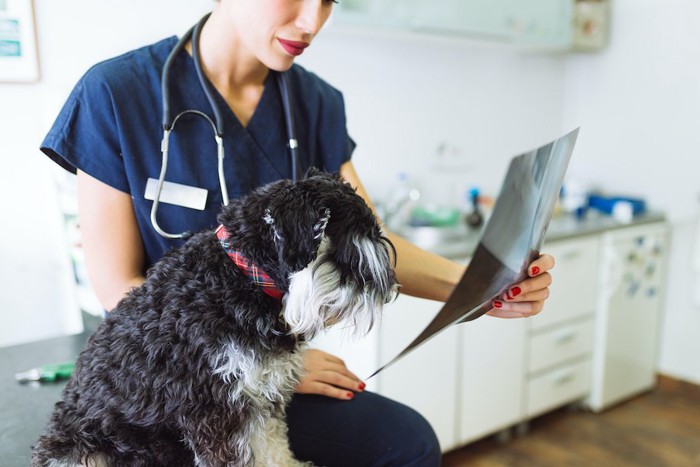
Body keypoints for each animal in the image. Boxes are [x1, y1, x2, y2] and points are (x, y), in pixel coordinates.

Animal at [32, 170, 396, 466]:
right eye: (350, 253)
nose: (391, 292)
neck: (240, 276)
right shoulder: (214, 409)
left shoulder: (259, 396)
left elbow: (272, 446)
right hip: (82, 449)